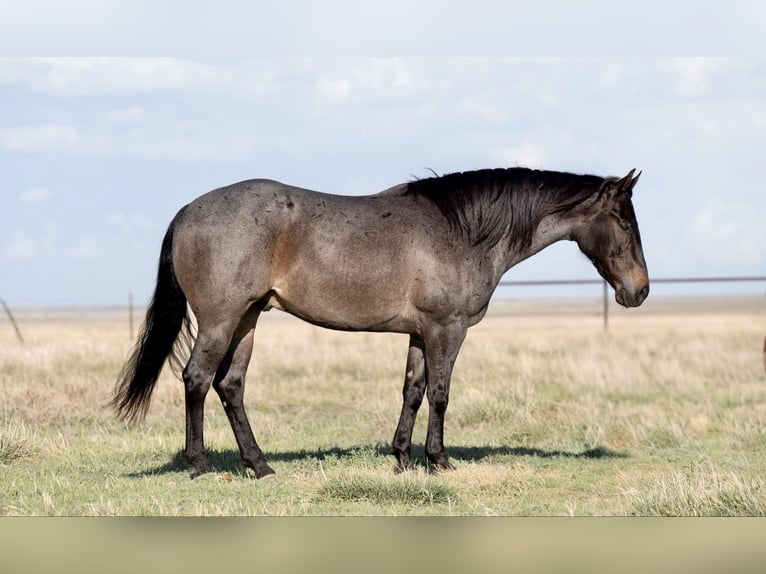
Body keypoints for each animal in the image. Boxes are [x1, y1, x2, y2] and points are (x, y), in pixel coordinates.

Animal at [114, 168, 652, 482]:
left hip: (247, 320)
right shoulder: (446, 329)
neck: (463, 230)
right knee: (197, 380)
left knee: (230, 385)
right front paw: (439, 460)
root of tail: (188, 210)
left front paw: (403, 457)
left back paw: (259, 465)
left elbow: (412, 390)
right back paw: (202, 465)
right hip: (221, 320)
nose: (640, 291)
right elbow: (440, 392)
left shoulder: (419, 332)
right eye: (626, 224)